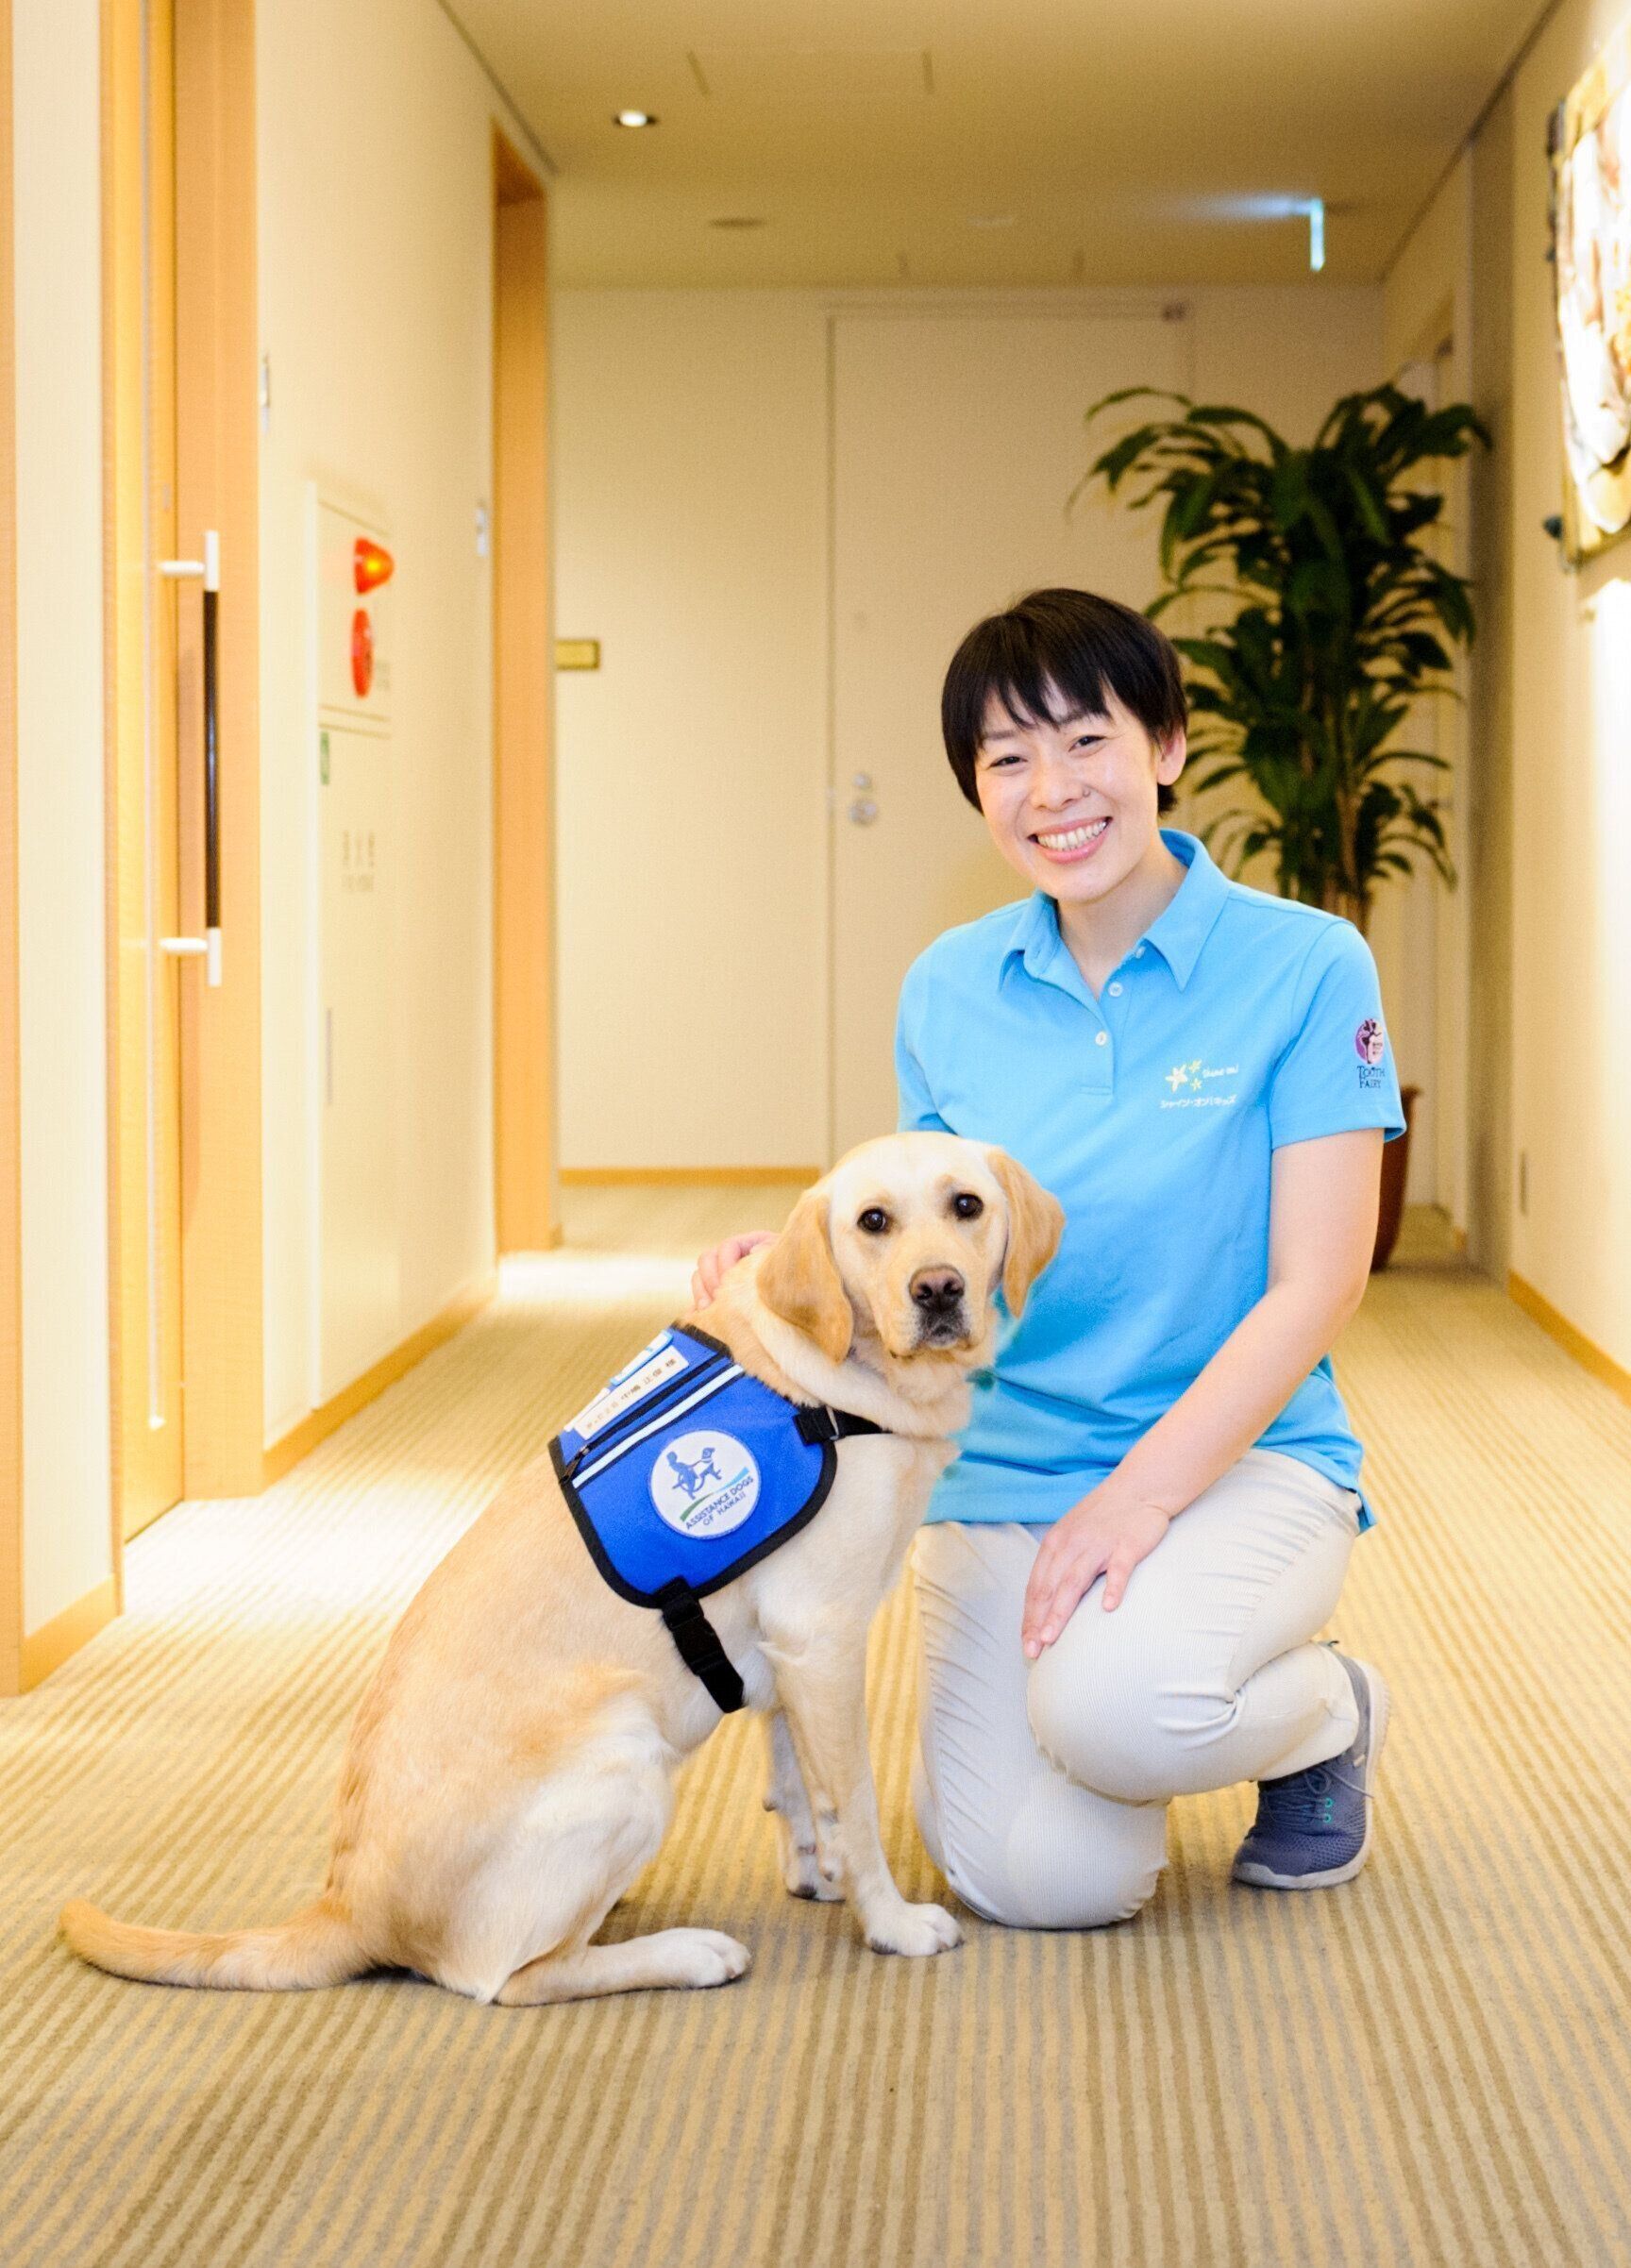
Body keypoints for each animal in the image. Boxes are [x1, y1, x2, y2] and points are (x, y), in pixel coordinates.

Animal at [61, 1132, 1062, 2007]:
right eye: (873, 1221)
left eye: (966, 1205)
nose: (939, 1289)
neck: (830, 1383)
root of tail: (348, 1906)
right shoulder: (824, 1638)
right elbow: (850, 1800)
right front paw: (889, 1921)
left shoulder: (787, 1650)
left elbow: (795, 1781)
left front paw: (813, 1873)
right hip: (627, 1756)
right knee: (514, 1977)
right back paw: (686, 1952)